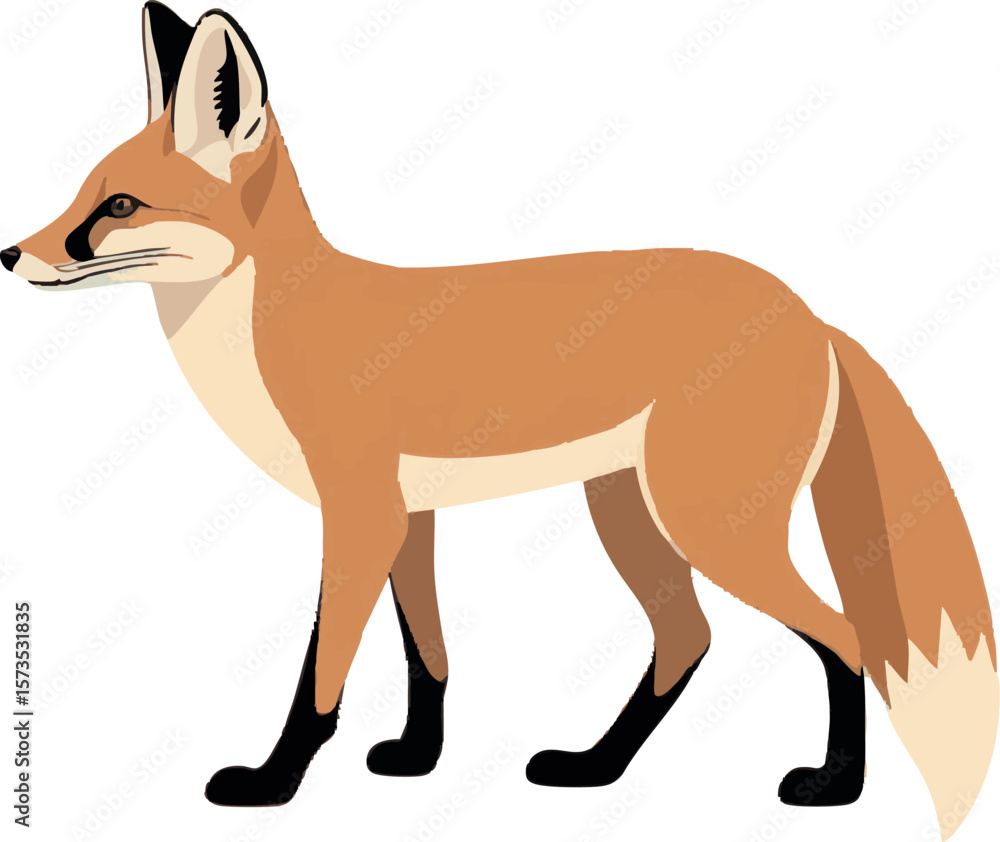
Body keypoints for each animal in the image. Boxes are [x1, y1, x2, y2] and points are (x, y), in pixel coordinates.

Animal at [3, 3, 997, 838]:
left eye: (119, 207)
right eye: (82, 193)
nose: (12, 253)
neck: (273, 323)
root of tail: (809, 311)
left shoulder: (358, 514)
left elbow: (321, 673)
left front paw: (273, 783)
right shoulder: (407, 519)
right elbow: (428, 654)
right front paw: (417, 759)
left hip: (709, 524)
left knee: (844, 635)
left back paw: (835, 789)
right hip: (629, 514)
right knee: (689, 640)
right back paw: (595, 770)